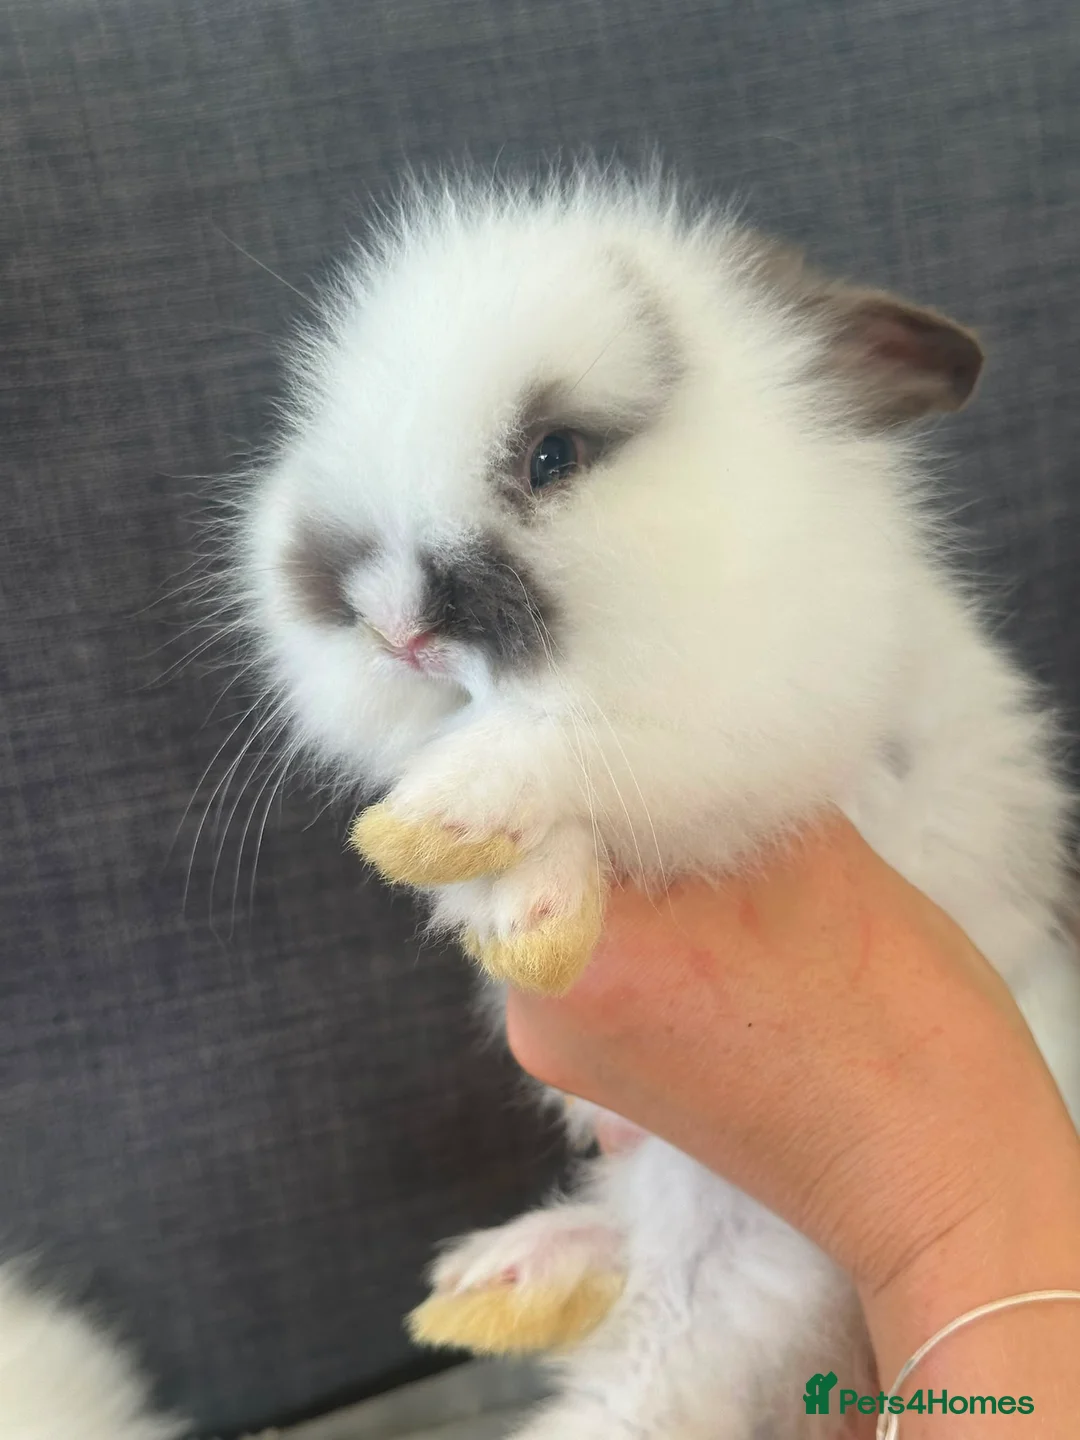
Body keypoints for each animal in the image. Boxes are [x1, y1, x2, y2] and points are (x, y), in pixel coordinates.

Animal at [235, 168, 1080, 1438]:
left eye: (553, 455)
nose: (390, 626)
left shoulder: (734, 732)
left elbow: (568, 748)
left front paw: (472, 861)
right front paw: (496, 898)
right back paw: (502, 1285)